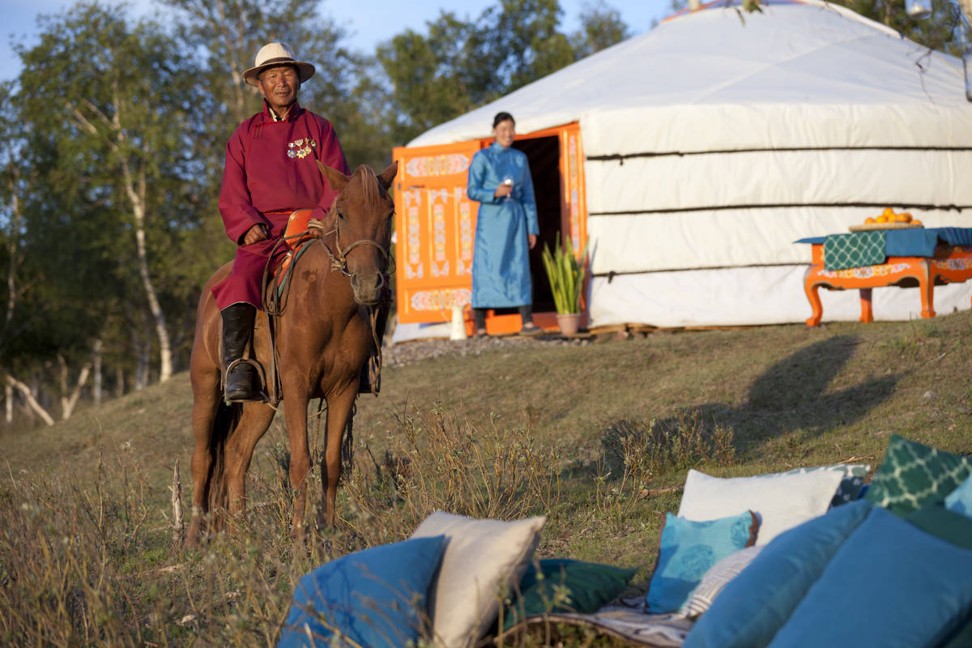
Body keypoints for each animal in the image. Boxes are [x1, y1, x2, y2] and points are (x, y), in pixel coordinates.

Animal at [184, 161, 396, 540]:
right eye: (343, 213)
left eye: (389, 213)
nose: (369, 283)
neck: (326, 305)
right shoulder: (297, 389)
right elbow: (300, 464)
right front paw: (300, 538)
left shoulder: (342, 390)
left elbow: (330, 462)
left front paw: (327, 531)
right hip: (206, 390)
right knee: (203, 459)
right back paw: (195, 537)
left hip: (260, 403)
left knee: (236, 455)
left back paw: (241, 534)